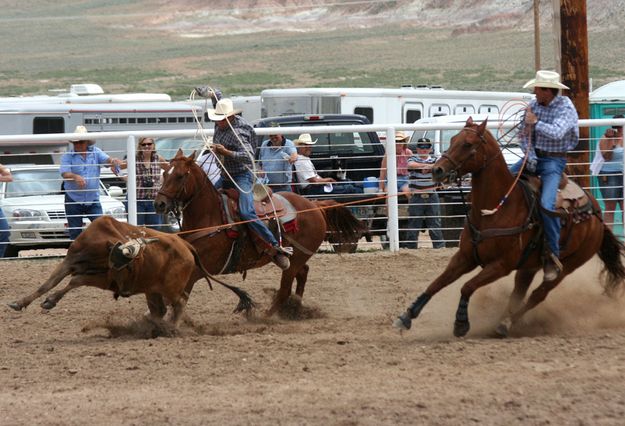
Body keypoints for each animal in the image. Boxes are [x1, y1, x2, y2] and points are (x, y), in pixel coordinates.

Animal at [153, 150, 364, 316]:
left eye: (180, 176)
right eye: (164, 174)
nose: (159, 204)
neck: (211, 216)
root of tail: (315, 206)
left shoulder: (204, 267)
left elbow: (180, 293)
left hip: (298, 257)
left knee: (285, 289)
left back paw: (267, 317)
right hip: (296, 257)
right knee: (302, 273)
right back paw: (294, 309)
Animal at [394, 116, 624, 336]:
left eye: (467, 144)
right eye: (452, 140)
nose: (437, 170)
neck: (497, 209)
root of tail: (598, 216)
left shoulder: (501, 265)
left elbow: (467, 287)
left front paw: (461, 323)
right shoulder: (465, 257)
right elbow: (438, 282)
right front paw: (406, 316)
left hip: (568, 266)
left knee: (537, 295)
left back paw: (506, 324)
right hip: (529, 265)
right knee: (518, 293)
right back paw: (503, 322)